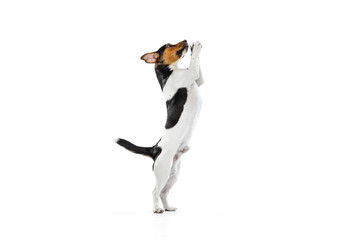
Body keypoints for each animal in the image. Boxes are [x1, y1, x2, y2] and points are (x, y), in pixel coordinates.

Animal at [115, 39, 202, 214]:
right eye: (168, 45)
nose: (186, 40)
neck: (171, 72)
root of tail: (155, 148)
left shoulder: (199, 80)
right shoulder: (191, 74)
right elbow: (194, 63)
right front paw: (195, 47)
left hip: (173, 174)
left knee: (163, 193)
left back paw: (168, 207)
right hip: (163, 171)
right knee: (155, 191)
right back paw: (157, 209)